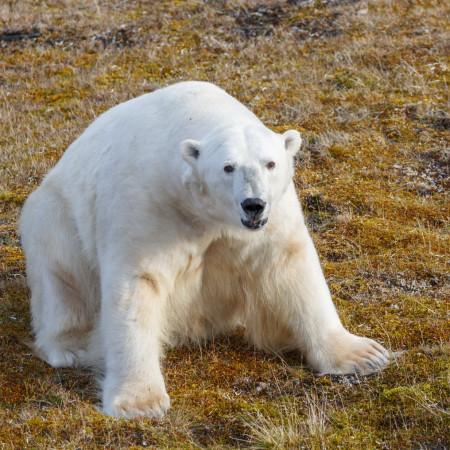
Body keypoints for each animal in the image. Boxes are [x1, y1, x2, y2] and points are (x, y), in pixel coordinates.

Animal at [19, 80, 388, 418]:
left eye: (269, 163)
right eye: (228, 167)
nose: (253, 204)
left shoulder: (271, 221)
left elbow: (292, 268)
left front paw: (365, 355)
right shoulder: (146, 207)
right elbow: (138, 285)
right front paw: (141, 402)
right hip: (55, 218)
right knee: (62, 279)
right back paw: (71, 347)